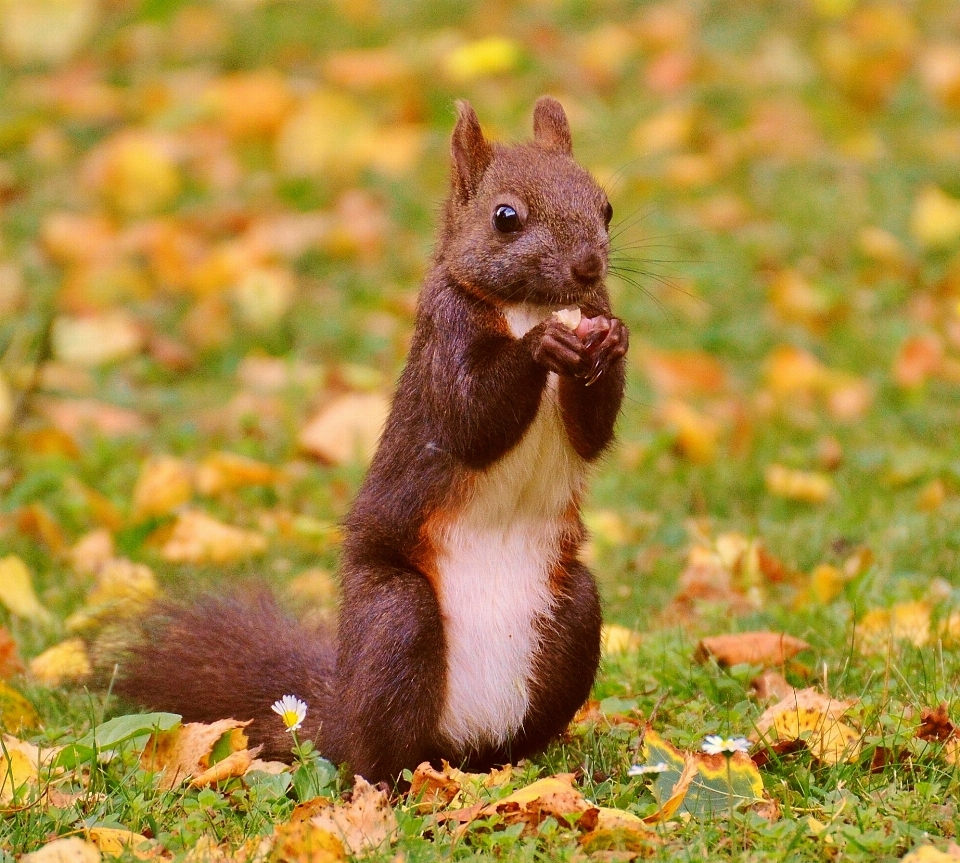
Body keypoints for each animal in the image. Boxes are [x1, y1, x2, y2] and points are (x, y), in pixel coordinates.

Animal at [118, 98, 632, 788]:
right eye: (506, 217)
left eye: (606, 206)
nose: (588, 268)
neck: (529, 305)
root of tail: (455, 747)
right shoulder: (443, 333)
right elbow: (471, 420)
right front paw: (541, 346)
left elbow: (592, 433)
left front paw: (613, 339)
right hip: (396, 620)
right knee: (378, 749)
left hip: (572, 614)